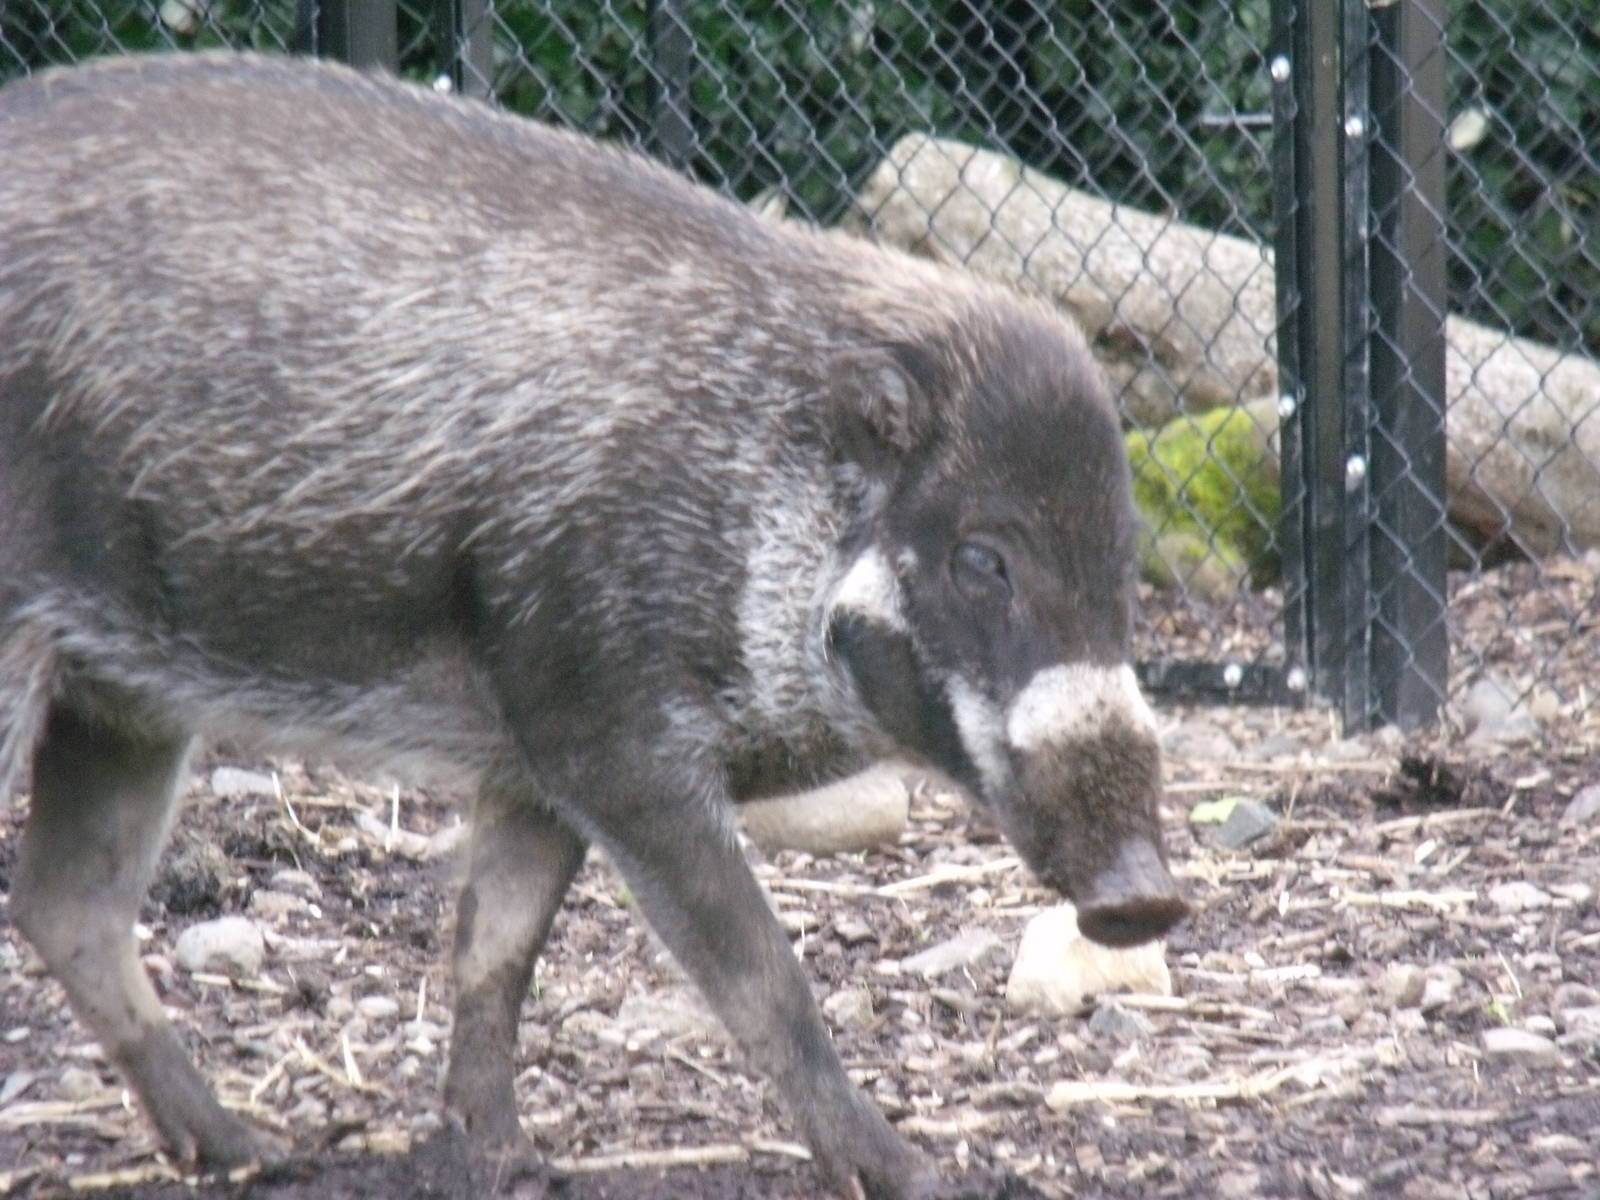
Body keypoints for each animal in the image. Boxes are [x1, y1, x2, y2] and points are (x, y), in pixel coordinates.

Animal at [0, 51, 1186, 1199]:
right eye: (984, 558)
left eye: (1123, 562)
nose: (1147, 897)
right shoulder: (604, 728)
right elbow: (763, 973)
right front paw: (911, 1176)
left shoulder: (530, 763)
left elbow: (495, 946)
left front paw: (503, 1163)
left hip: (125, 699)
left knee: (69, 906)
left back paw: (254, 1151)